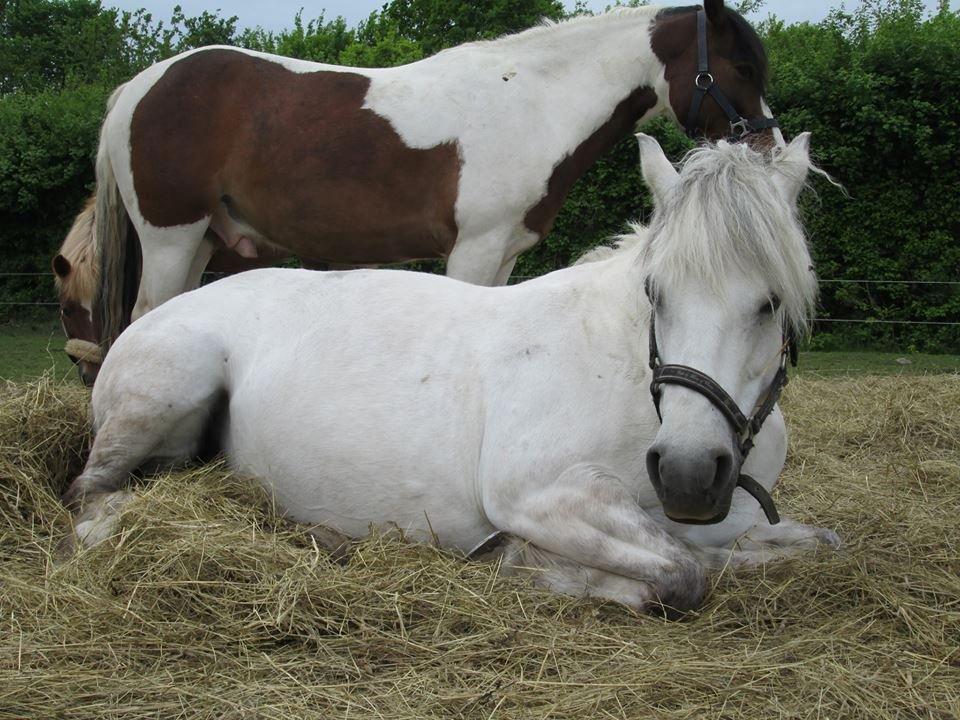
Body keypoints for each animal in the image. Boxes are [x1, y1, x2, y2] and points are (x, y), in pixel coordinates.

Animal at [65, 132, 840, 612]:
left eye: (771, 303)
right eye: (656, 292)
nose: (686, 472)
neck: (626, 374)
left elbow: (813, 543)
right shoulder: (540, 494)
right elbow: (681, 574)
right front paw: (524, 565)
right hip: (169, 384)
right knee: (87, 495)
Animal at [80, 2, 780, 376]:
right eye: (741, 66)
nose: (768, 148)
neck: (532, 103)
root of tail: (138, 87)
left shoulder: (502, 256)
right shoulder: (472, 250)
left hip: (202, 238)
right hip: (170, 238)